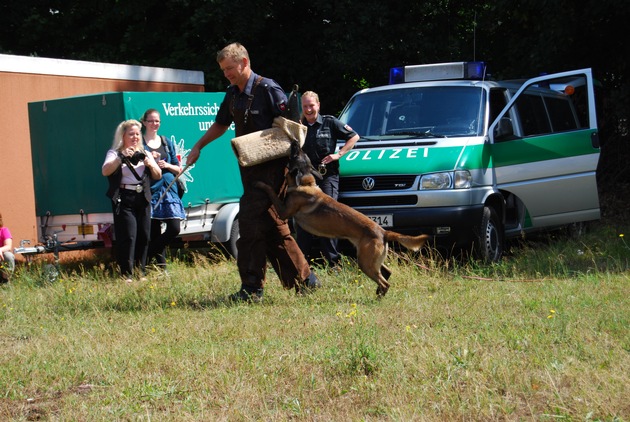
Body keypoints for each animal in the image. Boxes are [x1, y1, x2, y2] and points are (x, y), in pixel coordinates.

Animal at [256, 140, 430, 296]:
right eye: (302, 153)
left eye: (297, 154)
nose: (295, 142)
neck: (305, 183)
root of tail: (384, 232)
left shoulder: (284, 211)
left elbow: (272, 192)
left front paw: (261, 184)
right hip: (371, 259)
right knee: (387, 273)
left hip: (365, 262)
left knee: (385, 282)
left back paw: (377, 297)